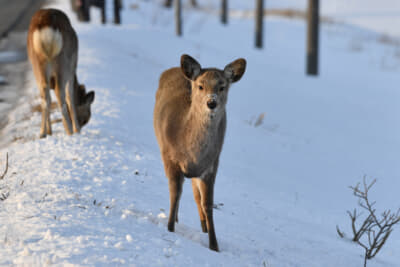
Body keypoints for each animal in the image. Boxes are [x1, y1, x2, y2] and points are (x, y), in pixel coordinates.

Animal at [27, 8, 94, 138]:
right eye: (86, 118)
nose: (81, 126)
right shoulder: (71, 70)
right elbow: (70, 97)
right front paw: (76, 129)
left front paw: (49, 131)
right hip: (62, 62)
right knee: (60, 94)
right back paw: (69, 131)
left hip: (37, 64)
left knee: (45, 97)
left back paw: (43, 133)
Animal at [154, 54, 245, 251]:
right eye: (201, 86)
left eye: (222, 86)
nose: (211, 102)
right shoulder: (170, 157)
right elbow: (175, 193)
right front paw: (170, 228)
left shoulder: (212, 165)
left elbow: (207, 203)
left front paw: (214, 245)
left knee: (197, 197)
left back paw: (203, 228)